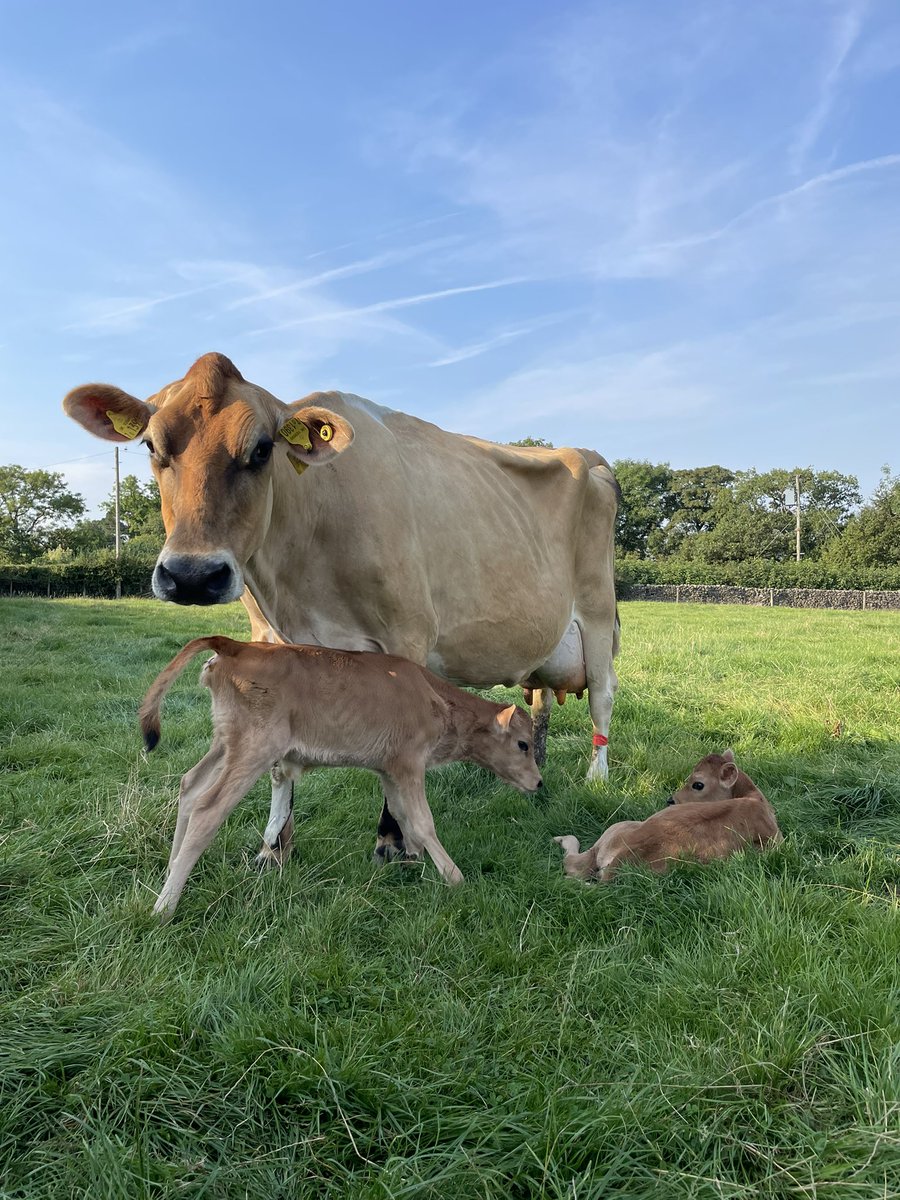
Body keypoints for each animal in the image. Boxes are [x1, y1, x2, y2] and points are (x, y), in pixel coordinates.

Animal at [63, 353, 619, 864]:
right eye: (151, 446)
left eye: (261, 449)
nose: (192, 576)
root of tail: (588, 454)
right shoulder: (269, 643)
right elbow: (279, 762)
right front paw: (273, 848)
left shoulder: (407, 634)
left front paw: (394, 842)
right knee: (539, 700)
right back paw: (536, 771)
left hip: (597, 612)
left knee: (602, 697)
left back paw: (596, 778)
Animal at [140, 635, 543, 917]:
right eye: (523, 744)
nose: (539, 782)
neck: (436, 700)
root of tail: (237, 646)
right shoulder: (409, 764)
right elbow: (423, 820)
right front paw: (454, 877)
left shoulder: (389, 768)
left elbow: (401, 814)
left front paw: (412, 859)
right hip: (254, 748)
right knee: (208, 809)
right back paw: (165, 906)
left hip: (225, 743)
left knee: (190, 787)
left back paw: (170, 871)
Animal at [554, 750, 783, 882]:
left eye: (698, 784)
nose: (671, 800)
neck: (753, 796)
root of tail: (622, 857)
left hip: (613, 832)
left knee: (574, 864)